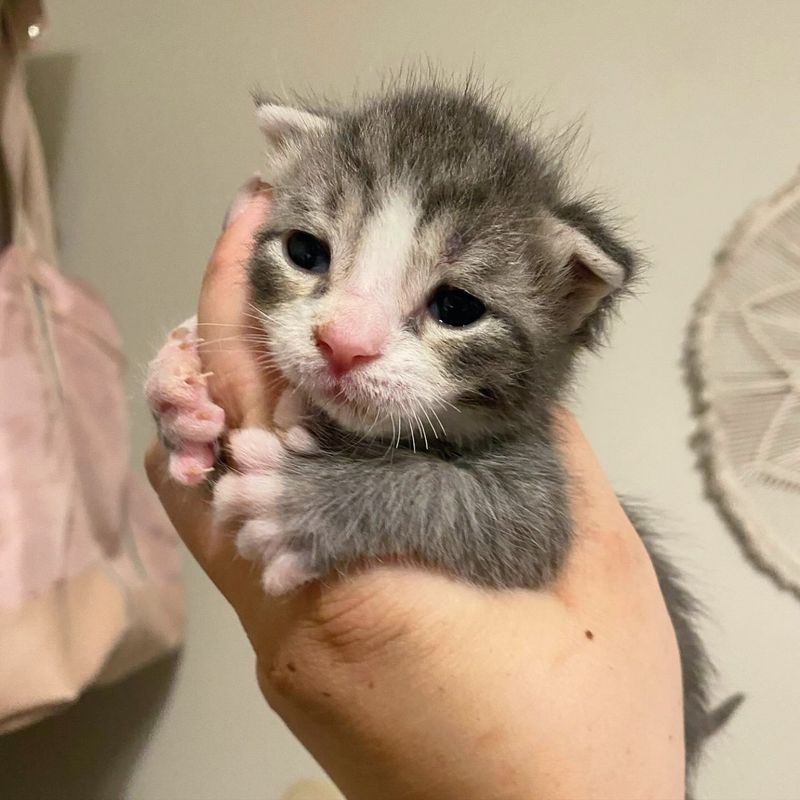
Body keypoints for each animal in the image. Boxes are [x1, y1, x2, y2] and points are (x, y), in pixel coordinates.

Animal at [147, 78, 740, 780]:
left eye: (457, 308)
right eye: (305, 252)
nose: (343, 343)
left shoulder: (540, 496)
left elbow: (473, 508)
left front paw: (307, 497)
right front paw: (178, 389)